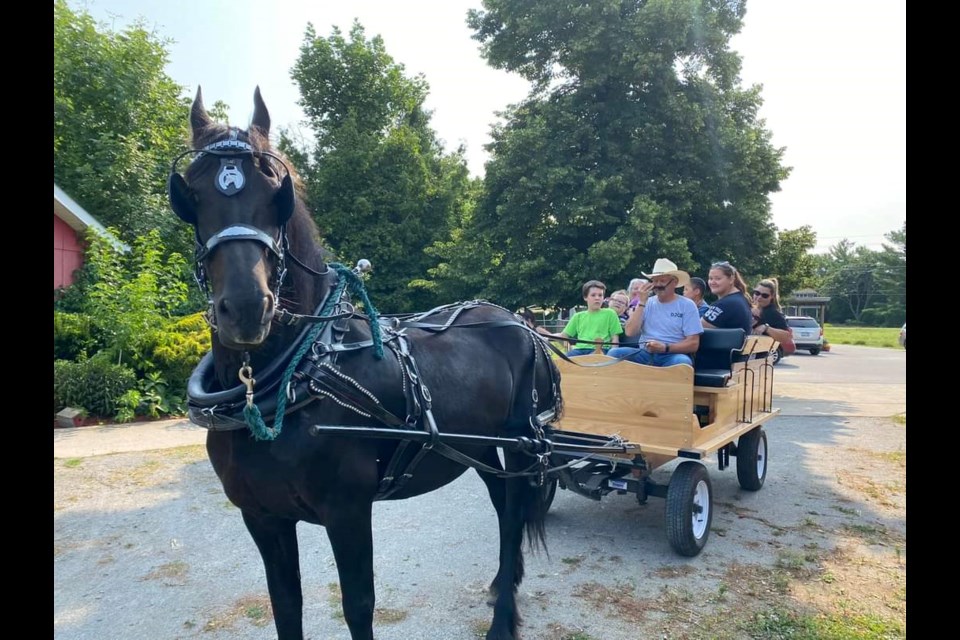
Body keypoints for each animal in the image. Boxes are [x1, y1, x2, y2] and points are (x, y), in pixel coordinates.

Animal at [166, 89, 564, 640]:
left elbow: (358, 605)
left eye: (276, 193)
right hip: (480, 448)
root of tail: (523, 323)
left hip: (524, 445)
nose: (247, 308)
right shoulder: (262, 516)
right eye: (195, 194)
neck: (286, 384)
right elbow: (285, 604)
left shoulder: (348, 512)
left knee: (512, 518)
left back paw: (503, 619)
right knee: (507, 512)